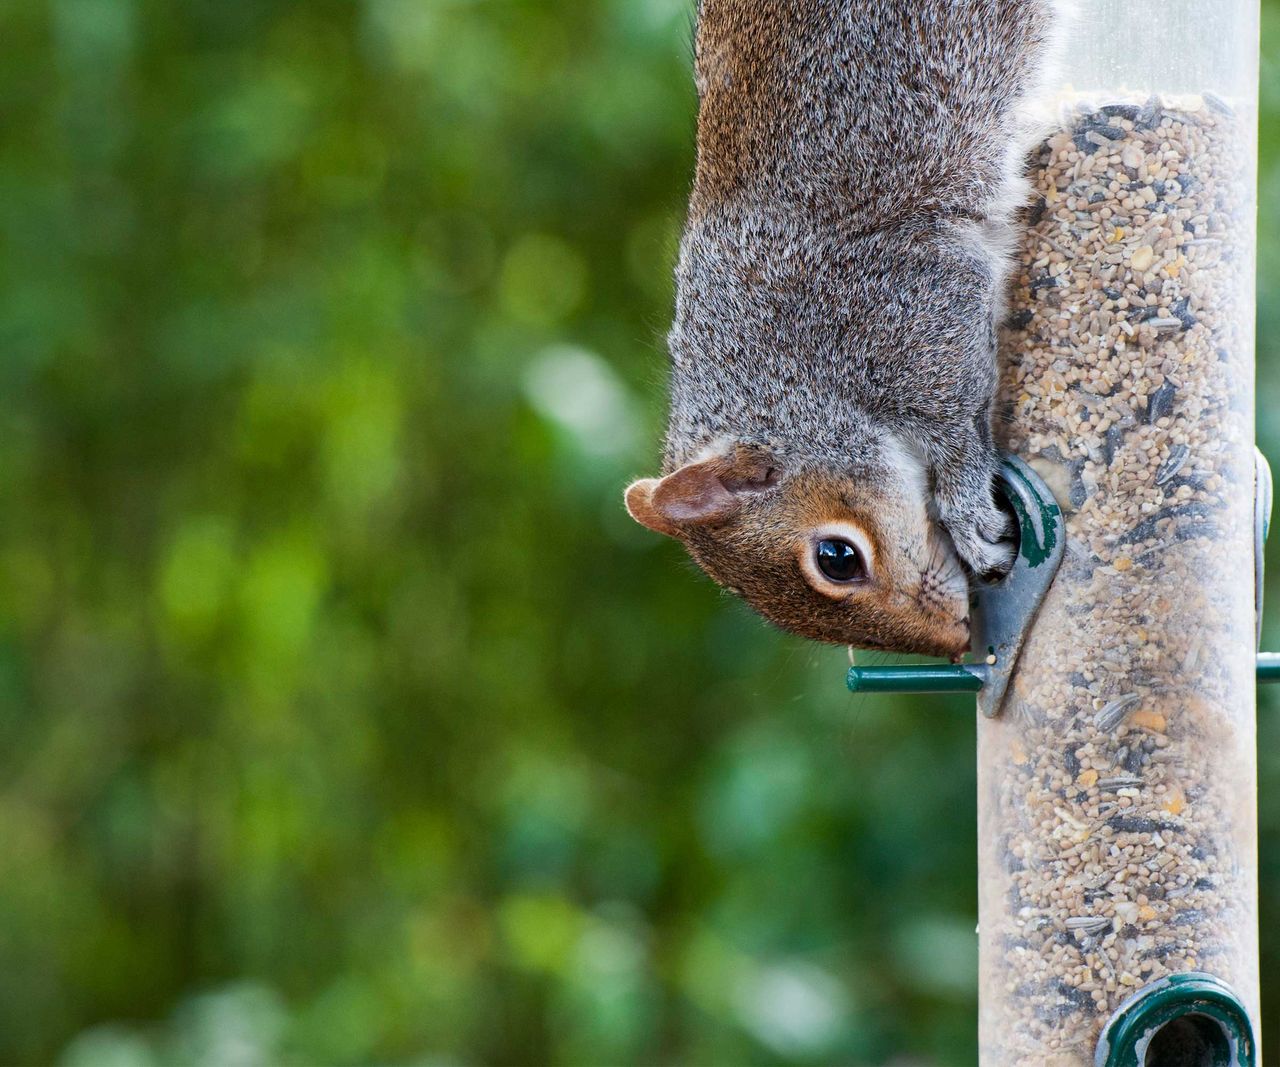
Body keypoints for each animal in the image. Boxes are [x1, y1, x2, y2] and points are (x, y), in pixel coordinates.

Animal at [625, 0, 1057, 659]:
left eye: (836, 558)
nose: (954, 639)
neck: (786, 372)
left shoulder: (912, 314)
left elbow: (955, 427)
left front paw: (970, 512)